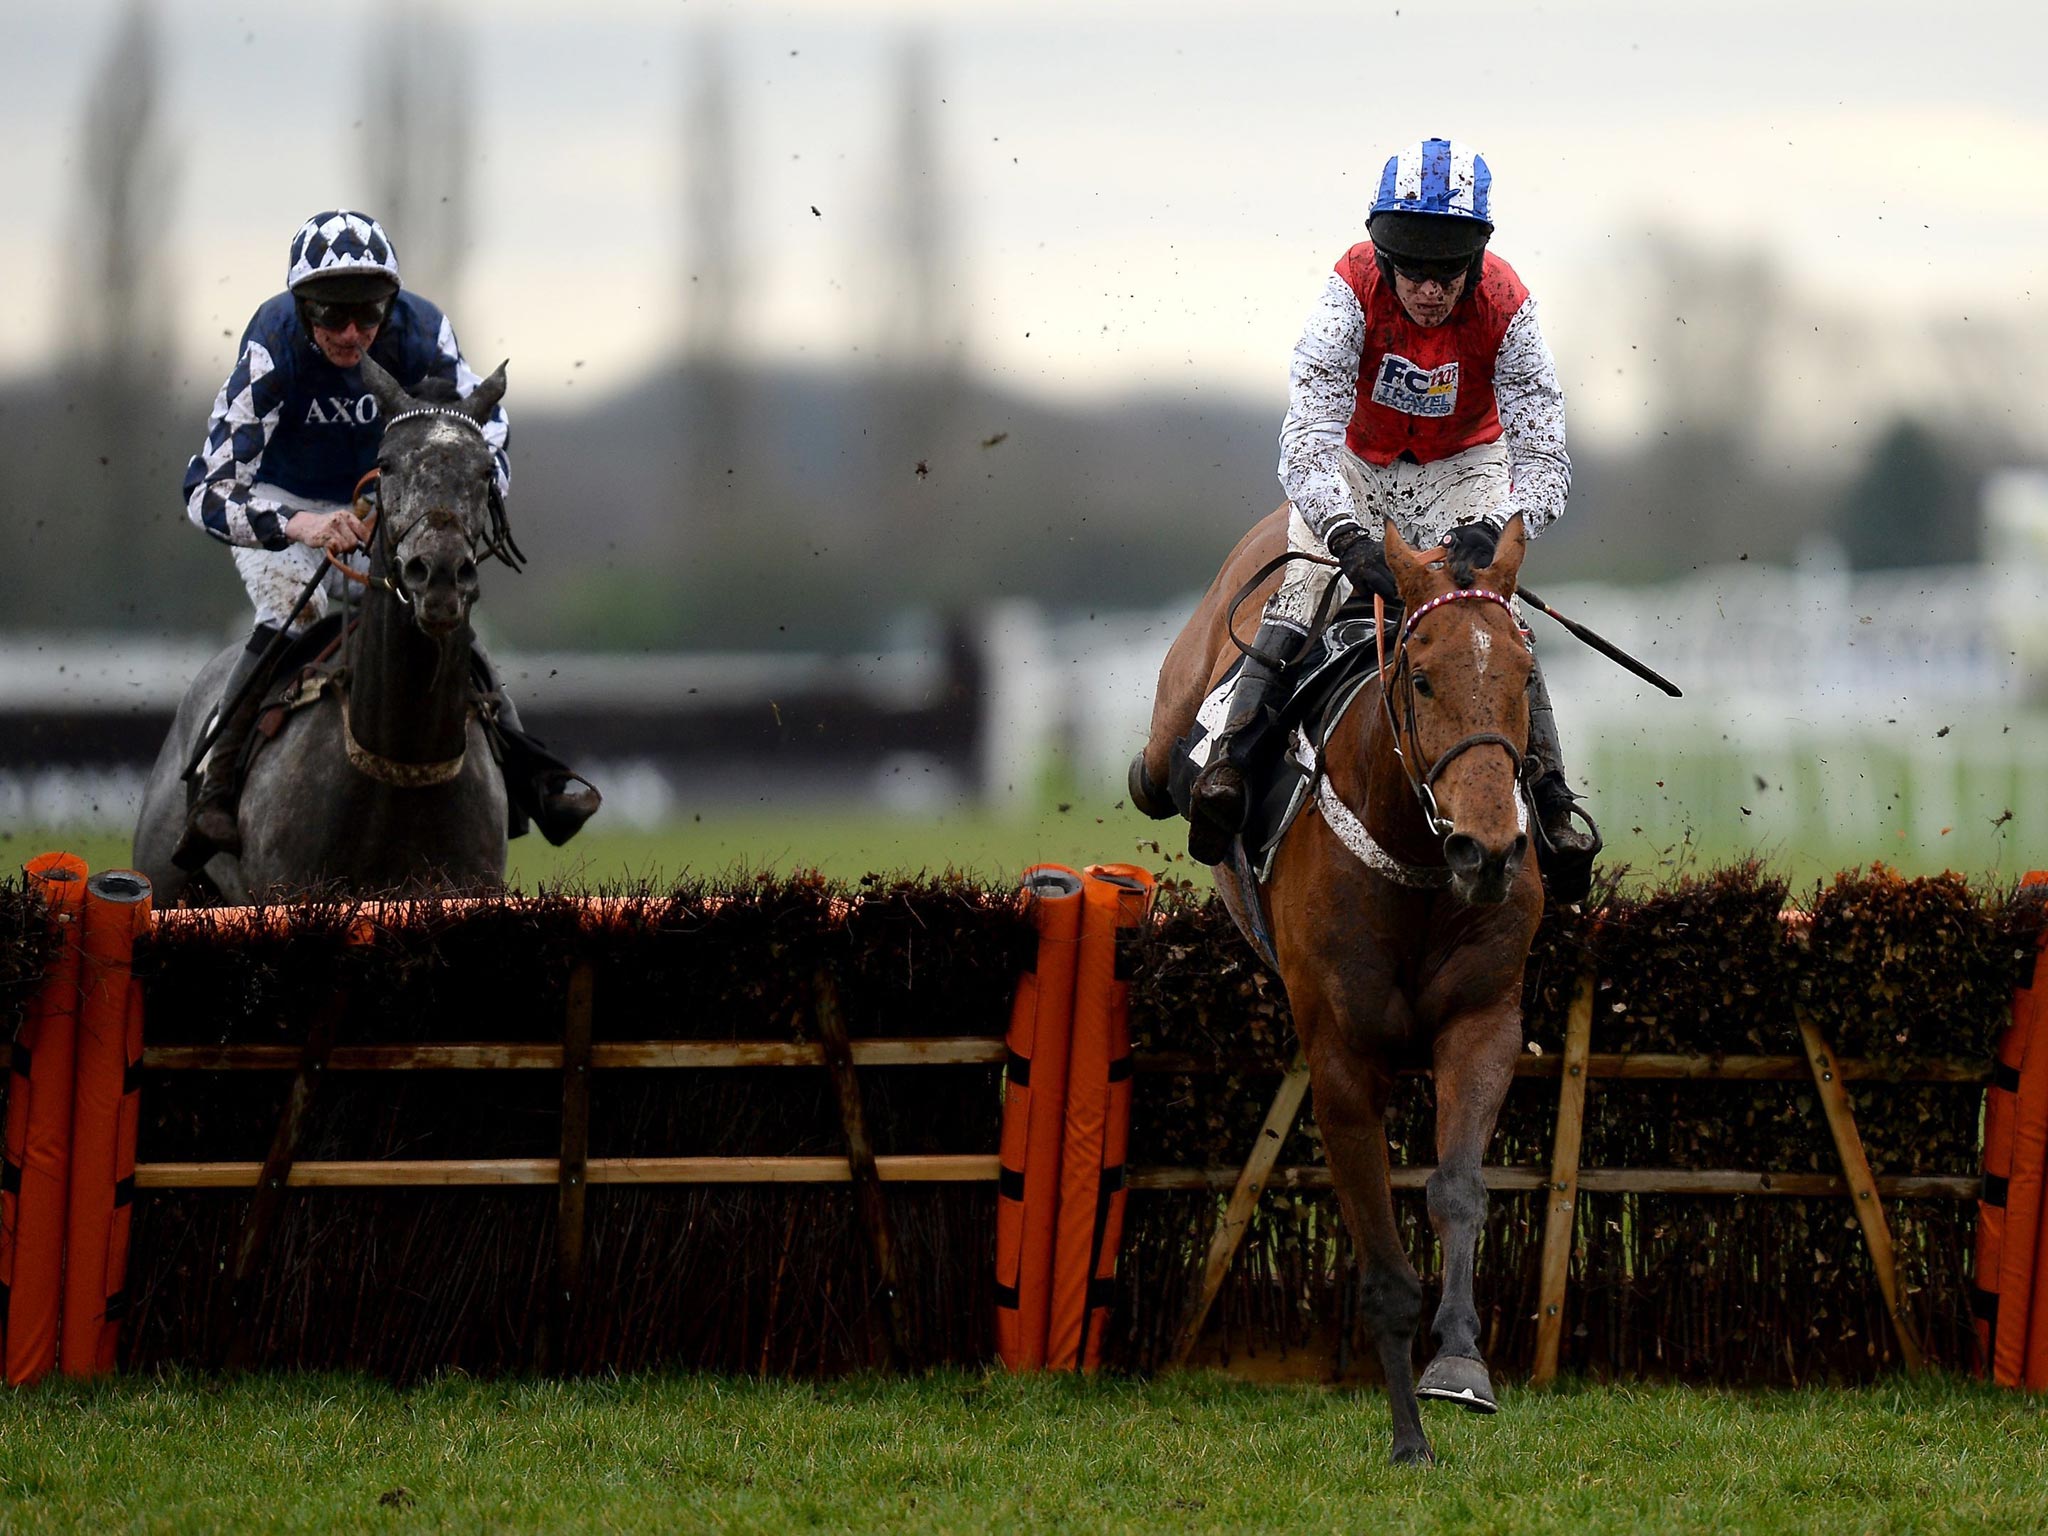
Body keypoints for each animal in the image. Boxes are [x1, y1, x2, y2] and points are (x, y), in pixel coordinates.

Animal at [1138, 507, 1540, 1466]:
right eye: (1422, 680)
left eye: (1523, 676)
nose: (1489, 851)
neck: (1421, 864)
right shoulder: (1343, 1058)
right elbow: (1383, 1268)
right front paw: (1408, 1440)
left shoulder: (1483, 1022)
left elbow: (1457, 1189)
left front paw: (1460, 1366)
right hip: (1186, 696)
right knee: (1153, 767)